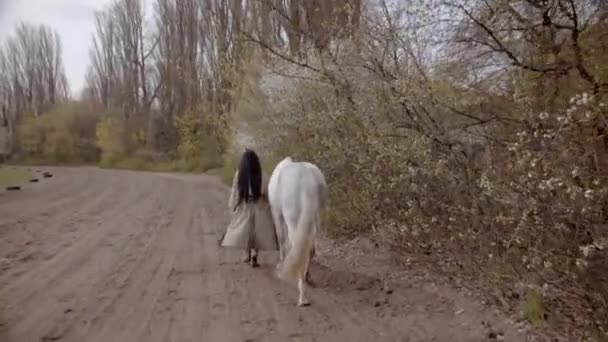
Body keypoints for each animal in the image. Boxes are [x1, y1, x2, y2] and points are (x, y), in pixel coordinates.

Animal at [270, 156, 328, 306]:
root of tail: (309, 181)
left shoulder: (277, 214)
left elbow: (282, 240)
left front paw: (281, 264)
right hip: (315, 221)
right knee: (309, 250)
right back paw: (306, 279)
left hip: (292, 220)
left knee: (297, 248)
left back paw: (302, 297)